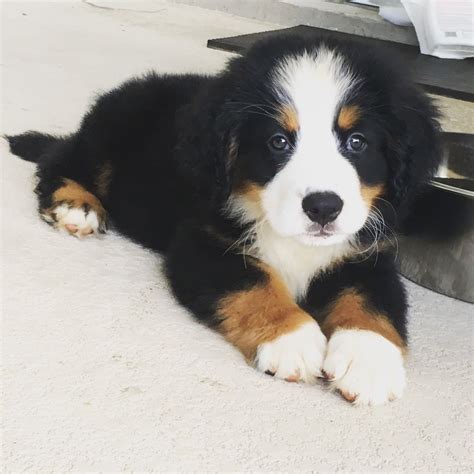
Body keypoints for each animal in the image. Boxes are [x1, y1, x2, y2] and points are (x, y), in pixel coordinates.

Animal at [6, 35, 440, 406]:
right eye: (278, 141)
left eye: (356, 142)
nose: (323, 207)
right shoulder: (203, 243)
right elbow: (254, 285)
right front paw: (292, 339)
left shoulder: (366, 255)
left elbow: (372, 304)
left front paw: (369, 363)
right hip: (106, 142)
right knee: (59, 159)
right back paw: (76, 205)